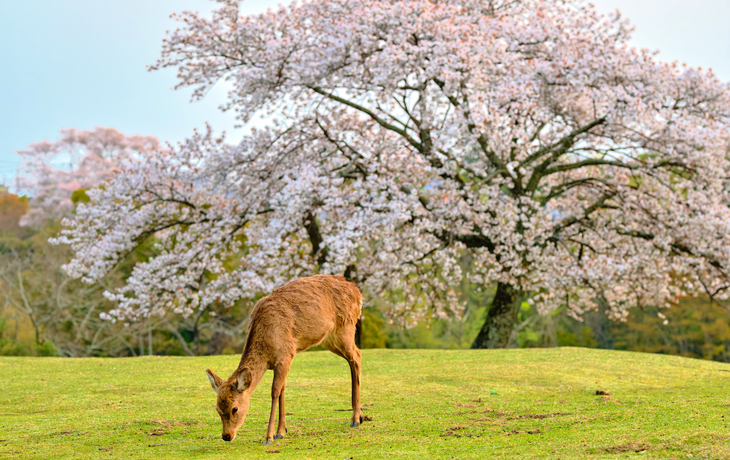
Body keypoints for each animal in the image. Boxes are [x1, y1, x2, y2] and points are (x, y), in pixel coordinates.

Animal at [205, 274, 364, 445]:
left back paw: (355, 419)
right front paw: (281, 431)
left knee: (356, 356)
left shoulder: (285, 355)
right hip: (329, 339)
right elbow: (282, 389)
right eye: (217, 408)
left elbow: (275, 391)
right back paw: (361, 416)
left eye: (235, 408)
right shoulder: (281, 362)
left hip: (345, 328)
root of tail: (357, 292)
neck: (266, 352)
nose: (226, 436)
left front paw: (269, 437)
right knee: (355, 356)